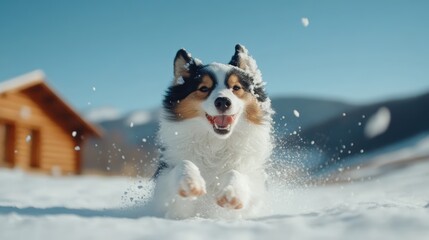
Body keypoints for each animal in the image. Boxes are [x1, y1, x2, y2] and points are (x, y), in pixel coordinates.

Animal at [149, 44, 272, 218]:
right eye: (204, 88)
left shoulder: (256, 181)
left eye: (236, 88)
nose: (223, 102)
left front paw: (231, 193)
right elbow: (183, 163)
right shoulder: (164, 190)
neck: (215, 143)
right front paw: (190, 182)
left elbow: (237, 173)